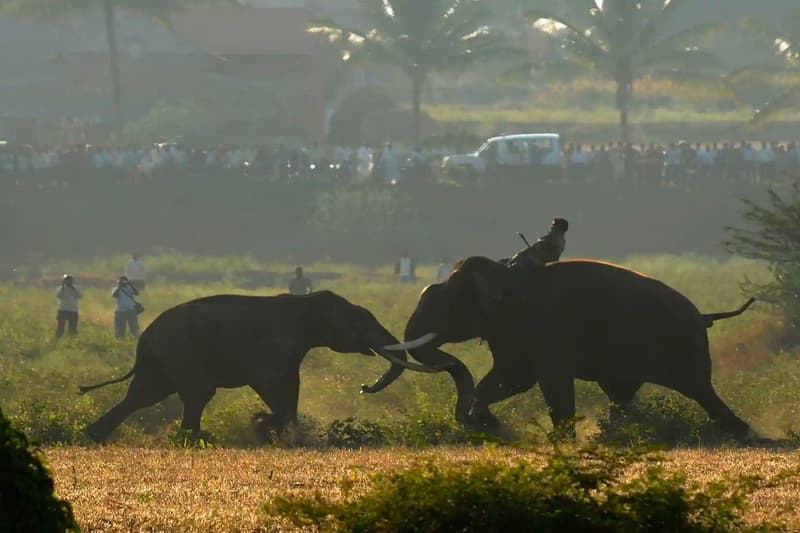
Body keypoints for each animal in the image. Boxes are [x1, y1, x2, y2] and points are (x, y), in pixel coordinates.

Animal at [79, 288, 438, 442]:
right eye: (360, 322)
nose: (364, 387)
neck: (306, 302)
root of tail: (143, 341)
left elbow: (291, 386)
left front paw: (282, 431)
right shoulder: (273, 349)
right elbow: (270, 383)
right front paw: (263, 424)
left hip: (164, 359)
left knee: (142, 396)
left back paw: (93, 436)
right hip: (179, 351)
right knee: (196, 392)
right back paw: (196, 438)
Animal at [366, 256, 760, 438]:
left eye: (446, 306)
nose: (365, 386)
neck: (502, 273)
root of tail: (703, 314)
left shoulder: (544, 328)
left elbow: (547, 381)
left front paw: (559, 439)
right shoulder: (510, 334)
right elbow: (509, 380)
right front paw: (489, 424)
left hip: (682, 348)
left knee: (700, 391)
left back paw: (741, 433)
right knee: (622, 393)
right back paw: (614, 432)